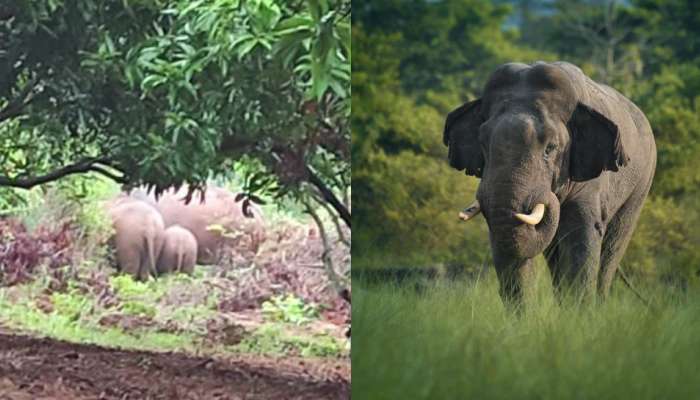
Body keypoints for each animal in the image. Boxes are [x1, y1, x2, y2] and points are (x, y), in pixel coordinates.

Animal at [444, 61, 656, 304]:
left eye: (550, 148)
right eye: (483, 144)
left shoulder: (591, 179)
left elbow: (581, 232)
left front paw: (579, 310)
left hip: (642, 182)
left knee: (612, 247)